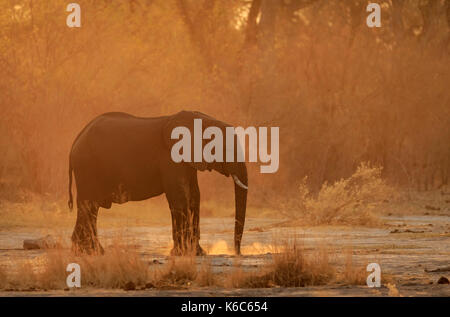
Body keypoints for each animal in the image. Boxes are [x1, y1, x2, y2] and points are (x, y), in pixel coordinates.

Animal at [68, 110, 248, 256]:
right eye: (226, 149)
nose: (237, 253)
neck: (202, 119)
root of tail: (76, 140)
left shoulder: (187, 163)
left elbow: (194, 197)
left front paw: (197, 253)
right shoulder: (170, 159)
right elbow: (180, 198)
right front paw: (181, 253)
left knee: (90, 208)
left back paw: (88, 251)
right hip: (87, 167)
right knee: (89, 205)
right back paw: (91, 252)